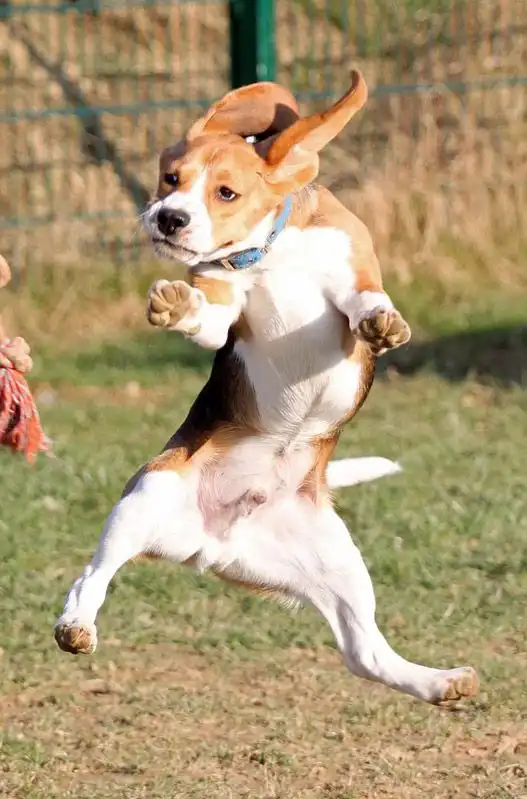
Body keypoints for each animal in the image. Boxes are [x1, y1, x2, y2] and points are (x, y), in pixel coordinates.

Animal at [54, 71, 478, 706]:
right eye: (171, 179)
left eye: (225, 193)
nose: (169, 218)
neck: (270, 252)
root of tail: (213, 541)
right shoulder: (222, 306)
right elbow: (206, 319)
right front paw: (176, 304)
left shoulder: (351, 266)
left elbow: (364, 301)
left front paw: (383, 324)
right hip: (147, 495)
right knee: (91, 575)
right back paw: (76, 625)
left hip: (338, 565)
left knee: (365, 655)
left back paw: (438, 682)